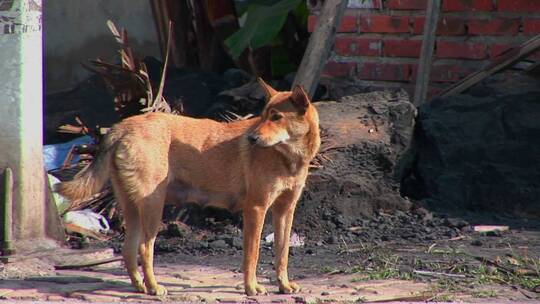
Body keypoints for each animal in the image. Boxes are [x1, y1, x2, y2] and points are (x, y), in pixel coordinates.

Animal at [57, 78, 320, 294]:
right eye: (264, 115)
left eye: (276, 117)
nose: (251, 139)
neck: (287, 157)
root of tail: (124, 126)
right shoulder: (255, 209)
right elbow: (252, 255)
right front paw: (251, 288)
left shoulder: (285, 211)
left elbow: (282, 253)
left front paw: (284, 285)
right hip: (153, 209)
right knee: (144, 249)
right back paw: (154, 288)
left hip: (132, 209)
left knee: (128, 250)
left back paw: (140, 286)